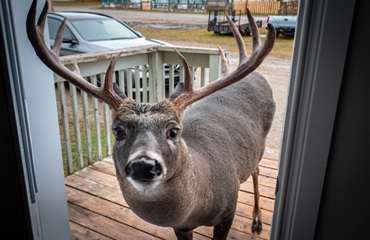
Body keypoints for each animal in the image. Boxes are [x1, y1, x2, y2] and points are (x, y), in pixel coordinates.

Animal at [26, 0, 274, 239]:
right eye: (118, 131)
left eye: (174, 131)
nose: (143, 165)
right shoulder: (181, 226)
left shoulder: (227, 213)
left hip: (259, 147)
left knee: (256, 171)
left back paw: (257, 220)